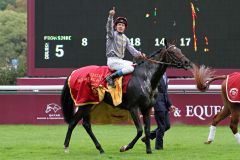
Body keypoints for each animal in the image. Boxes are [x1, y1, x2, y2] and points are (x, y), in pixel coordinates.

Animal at [61, 40, 192, 154]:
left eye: (179, 50)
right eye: (173, 52)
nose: (187, 62)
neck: (146, 77)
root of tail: (73, 73)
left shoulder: (147, 107)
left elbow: (147, 129)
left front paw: (149, 150)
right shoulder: (133, 107)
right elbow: (140, 130)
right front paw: (125, 147)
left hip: (90, 104)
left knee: (86, 125)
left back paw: (100, 149)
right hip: (85, 104)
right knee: (72, 123)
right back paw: (66, 147)